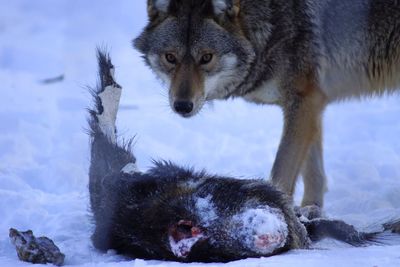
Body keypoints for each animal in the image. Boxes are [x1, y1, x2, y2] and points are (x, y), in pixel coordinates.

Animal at [134, 0, 400, 208]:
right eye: (170, 57)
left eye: (206, 57)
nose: (182, 106)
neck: (268, 24)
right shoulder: (311, 103)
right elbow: (313, 170)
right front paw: (311, 212)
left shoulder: (304, 101)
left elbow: (282, 170)